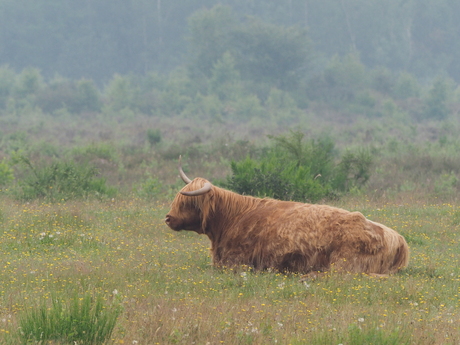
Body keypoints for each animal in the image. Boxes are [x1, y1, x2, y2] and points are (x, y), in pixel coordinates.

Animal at [165, 158, 410, 274]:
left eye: (187, 202)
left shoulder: (235, 262)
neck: (232, 219)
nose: (168, 218)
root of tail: (398, 238)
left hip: (344, 262)